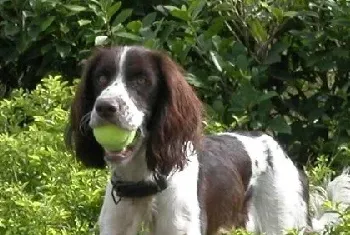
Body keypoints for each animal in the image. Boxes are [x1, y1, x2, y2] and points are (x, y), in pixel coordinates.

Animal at [66, 46, 350, 235]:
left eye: (142, 80)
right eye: (101, 78)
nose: (105, 107)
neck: (143, 185)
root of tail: (276, 146)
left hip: (284, 221)